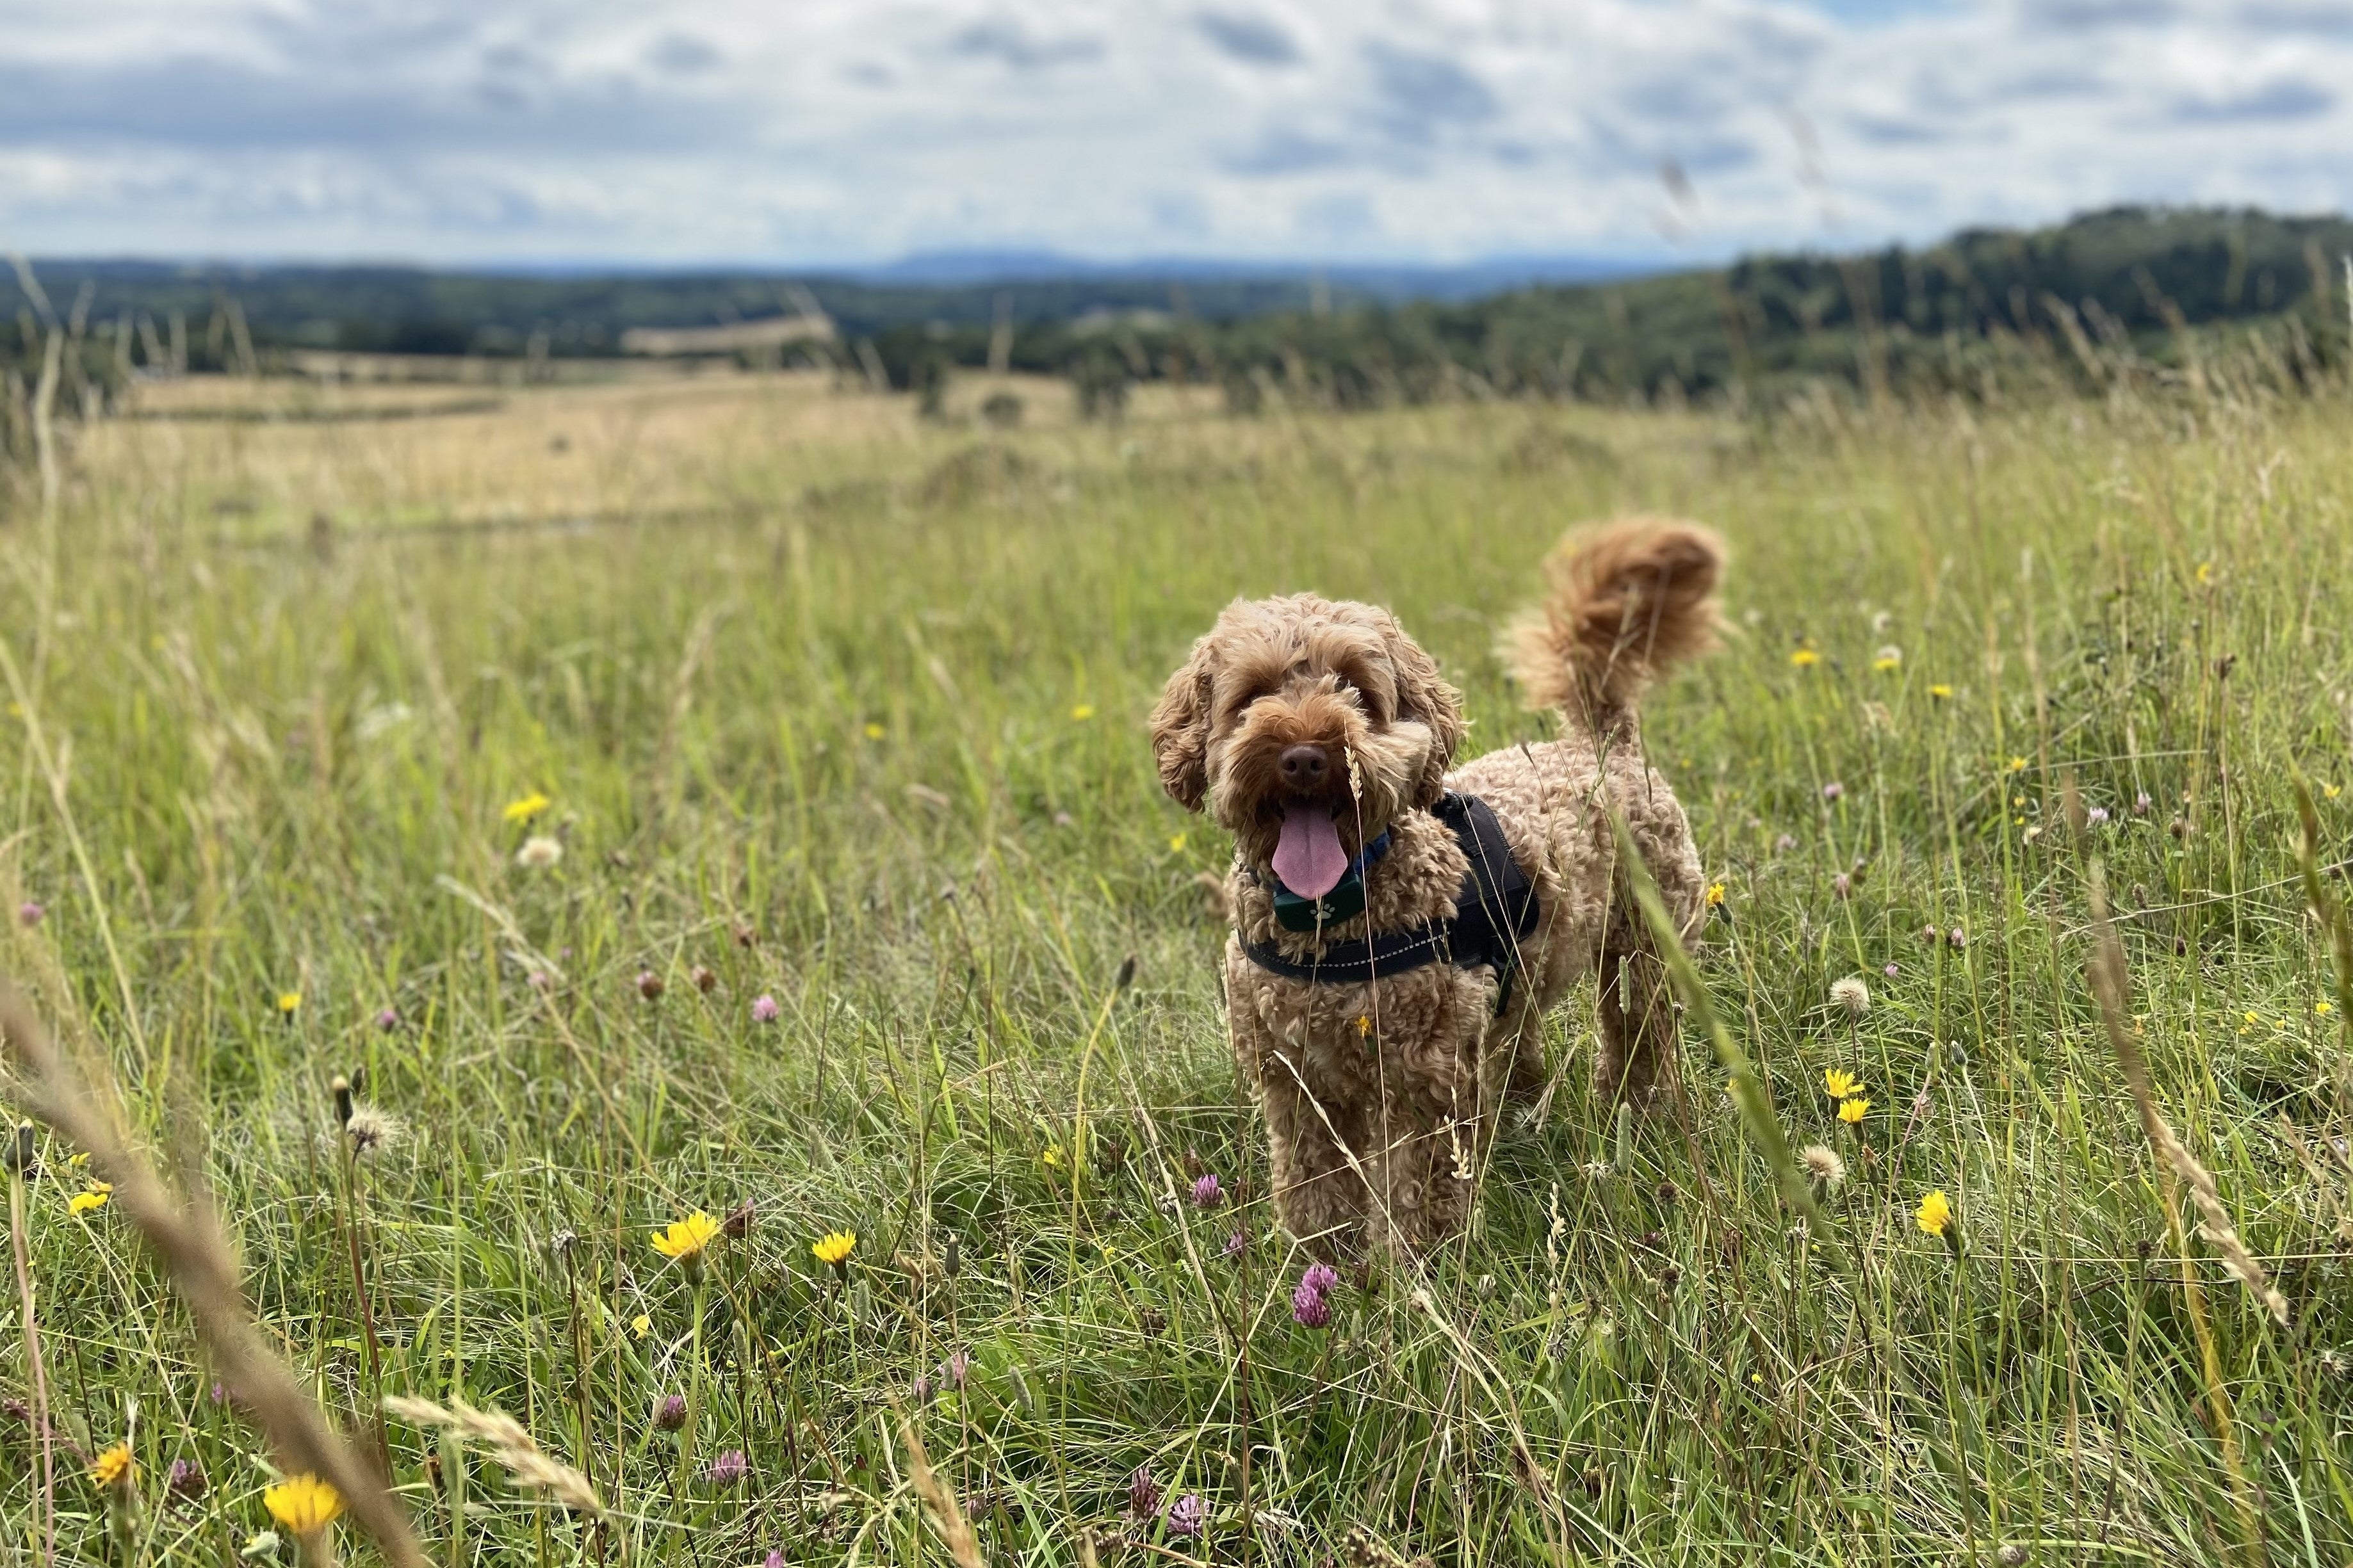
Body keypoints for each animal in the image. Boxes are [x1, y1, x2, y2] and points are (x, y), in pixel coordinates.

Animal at [1148, 522, 1722, 1260]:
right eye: (1252, 695)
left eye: (1356, 689)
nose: (1304, 755)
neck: (1330, 917)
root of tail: (1604, 746)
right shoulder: (1296, 1086)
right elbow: (1314, 1193)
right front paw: (1323, 1268)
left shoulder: (1423, 1082)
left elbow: (1418, 1197)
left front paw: (1418, 1271)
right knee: (1523, 1043)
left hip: (1643, 953)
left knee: (1636, 1039)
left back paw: (1634, 1115)